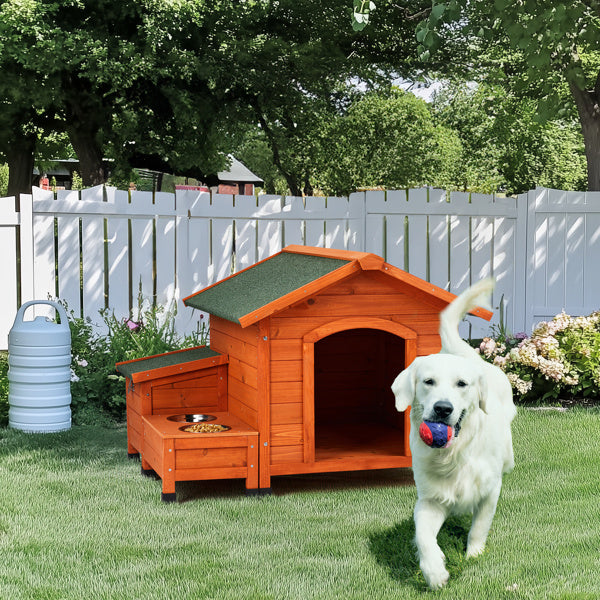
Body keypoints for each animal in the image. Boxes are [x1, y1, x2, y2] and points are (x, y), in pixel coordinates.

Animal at [394, 278, 516, 588]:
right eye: (428, 381)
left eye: (462, 383)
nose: (442, 408)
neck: (456, 453)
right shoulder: (430, 499)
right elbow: (423, 535)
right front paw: (435, 571)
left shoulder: (489, 490)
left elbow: (479, 527)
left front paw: (473, 555)